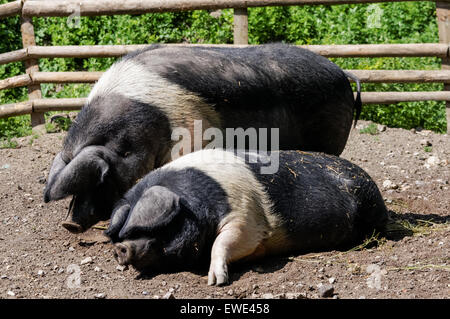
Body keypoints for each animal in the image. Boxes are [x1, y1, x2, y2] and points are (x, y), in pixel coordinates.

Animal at [104, 150, 386, 288]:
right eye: (123, 232)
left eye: (152, 227)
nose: (120, 248)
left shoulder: (246, 217)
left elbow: (226, 241)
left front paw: (215, 282)